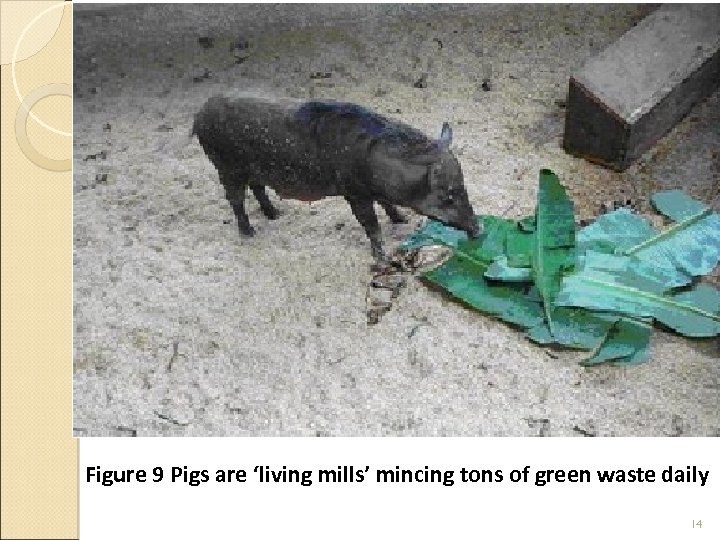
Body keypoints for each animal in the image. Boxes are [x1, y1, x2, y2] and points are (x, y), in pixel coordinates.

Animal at [192, 95, 480, 260]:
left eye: (464, 186)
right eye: (449, 195)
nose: (479, 230)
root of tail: (199, 115)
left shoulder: (375, 193)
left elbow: (388, 205)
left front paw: (402, 220)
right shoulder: (354, 193)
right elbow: (371, 226)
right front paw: (383, 259)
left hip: (251, 169)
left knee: (258, 188)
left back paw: (275, 215)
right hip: (227, 168)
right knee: (235, 200)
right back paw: (249, 233)